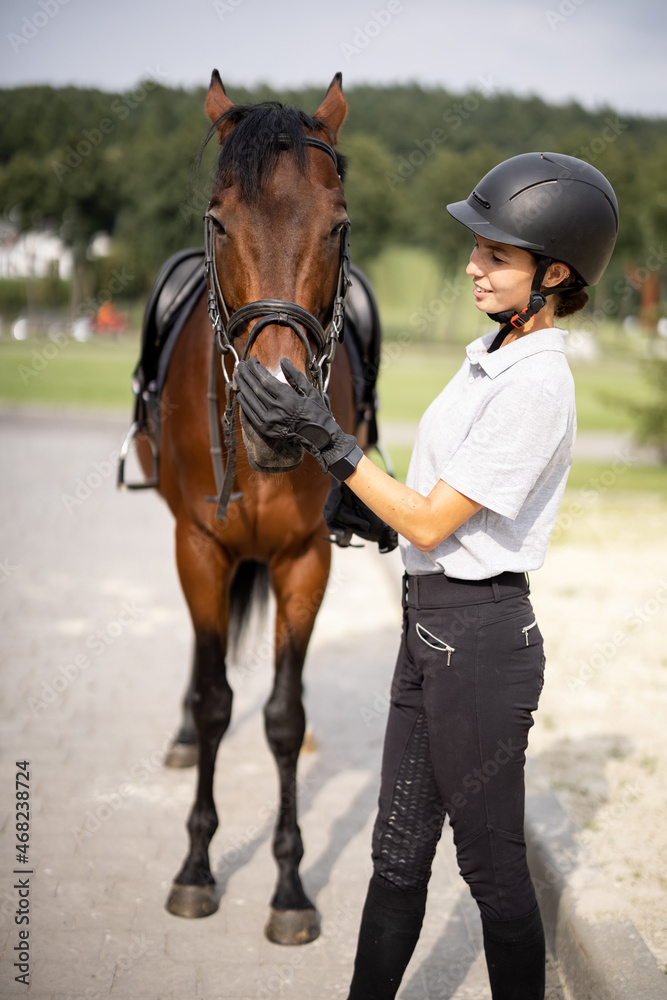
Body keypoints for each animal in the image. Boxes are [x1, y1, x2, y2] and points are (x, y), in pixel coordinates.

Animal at [132, 72, 358, 944]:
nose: (278, 412)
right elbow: (216, 701)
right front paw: (196, 868)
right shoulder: (199, 547)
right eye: (220, 221)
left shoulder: (305, 558)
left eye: (336, 227)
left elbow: (282, 717)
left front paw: (289, 887)